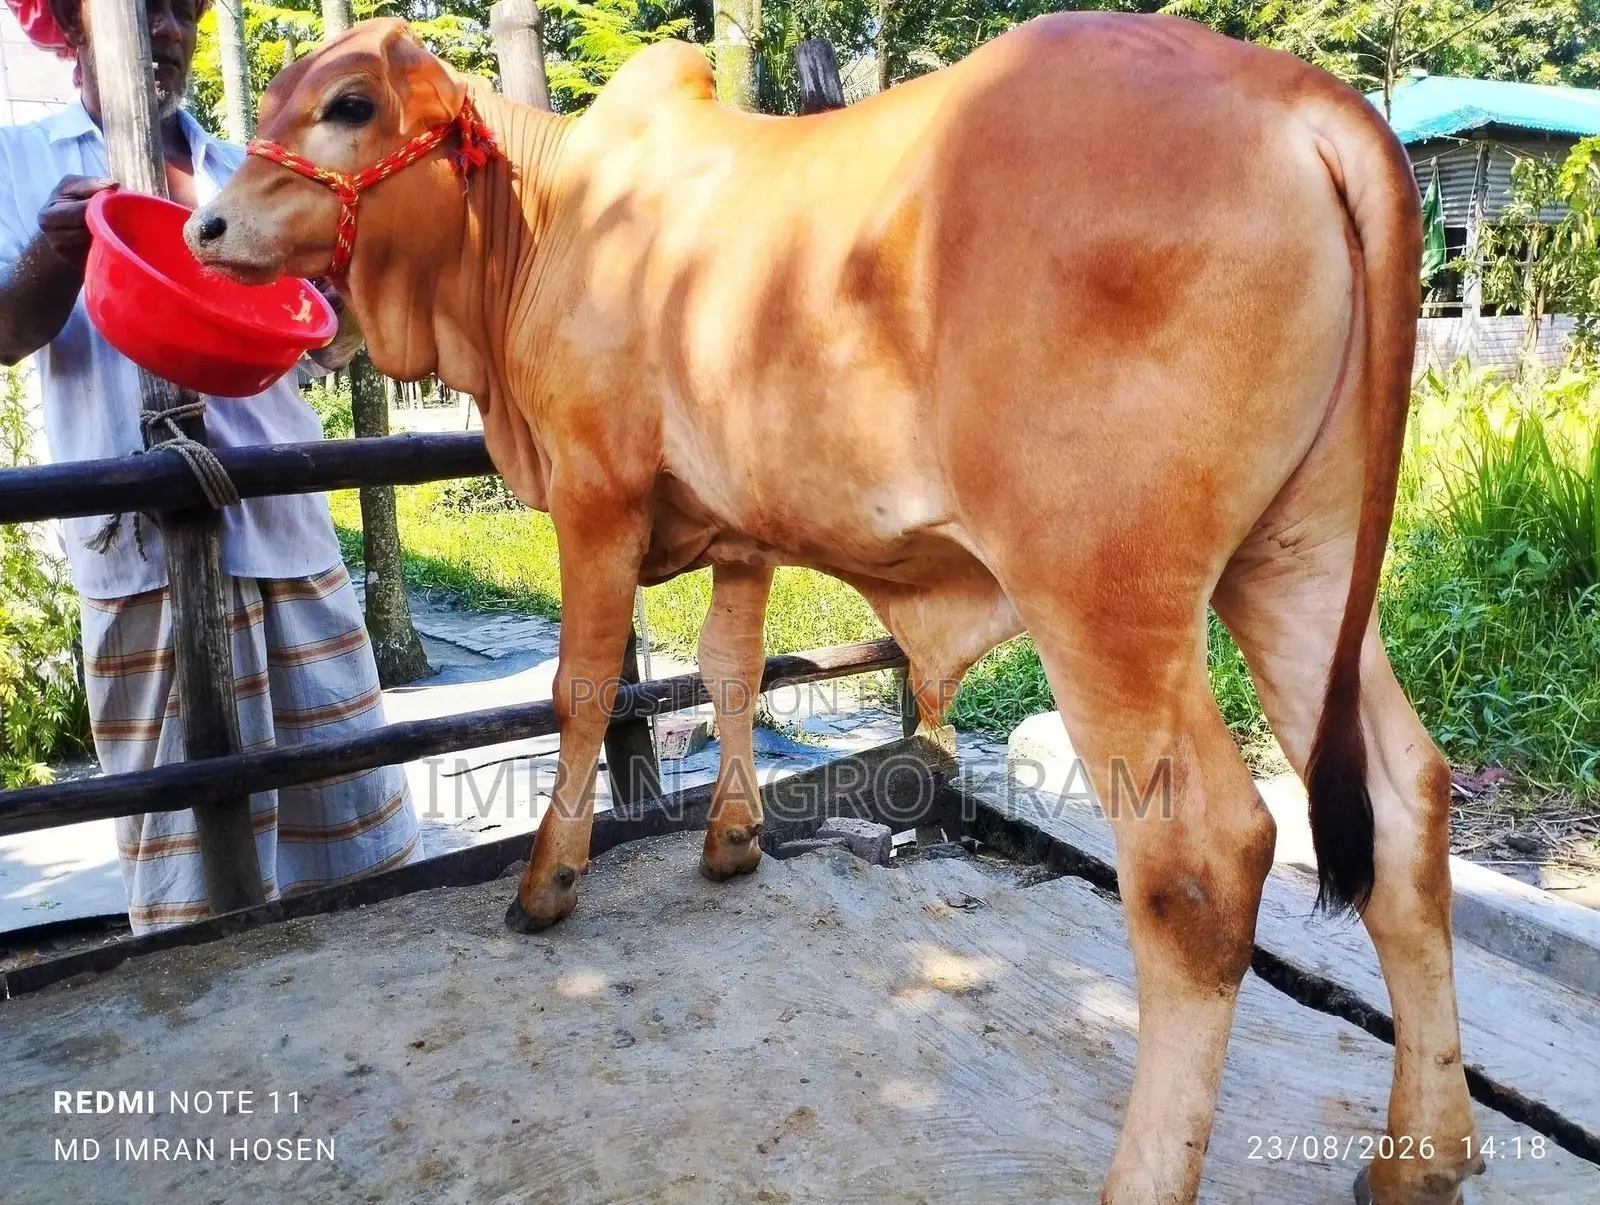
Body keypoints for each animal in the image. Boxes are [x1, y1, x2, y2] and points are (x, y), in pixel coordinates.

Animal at [186, 15, 1478, 1203]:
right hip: (1299, 568)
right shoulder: (742, 532)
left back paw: (1150, 1175)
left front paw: (548, 881)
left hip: (1105, 596)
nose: (206, 226)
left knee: (1202, 860)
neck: (541, 223)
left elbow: (584, 684)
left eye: (350, 103)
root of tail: (1305, 100)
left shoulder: (596, 494)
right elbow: (728, 667)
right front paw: (733, 838)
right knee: (1407, 797)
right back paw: (1419, 1153)